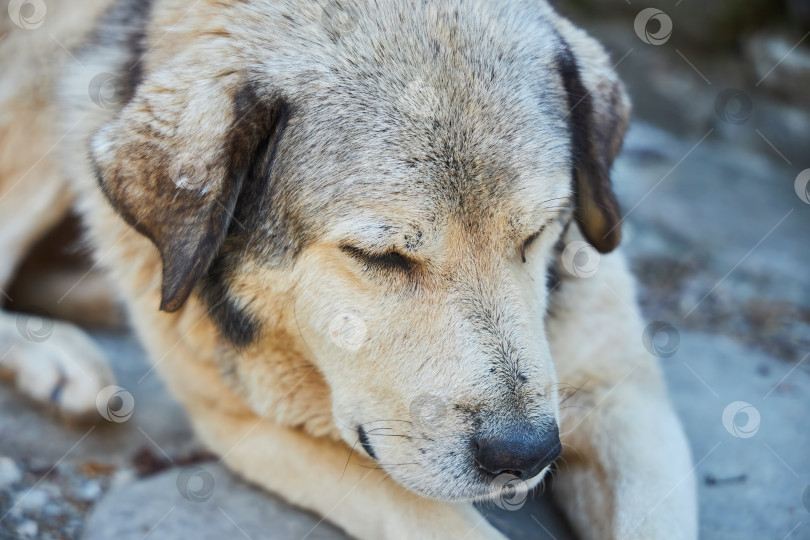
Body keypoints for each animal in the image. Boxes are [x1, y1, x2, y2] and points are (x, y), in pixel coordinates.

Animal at [0, 1, 696, 536]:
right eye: (379, 256)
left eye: (536, 233)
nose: (524, 455)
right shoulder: (256, 428)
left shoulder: (620, 390)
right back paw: (55, 356)